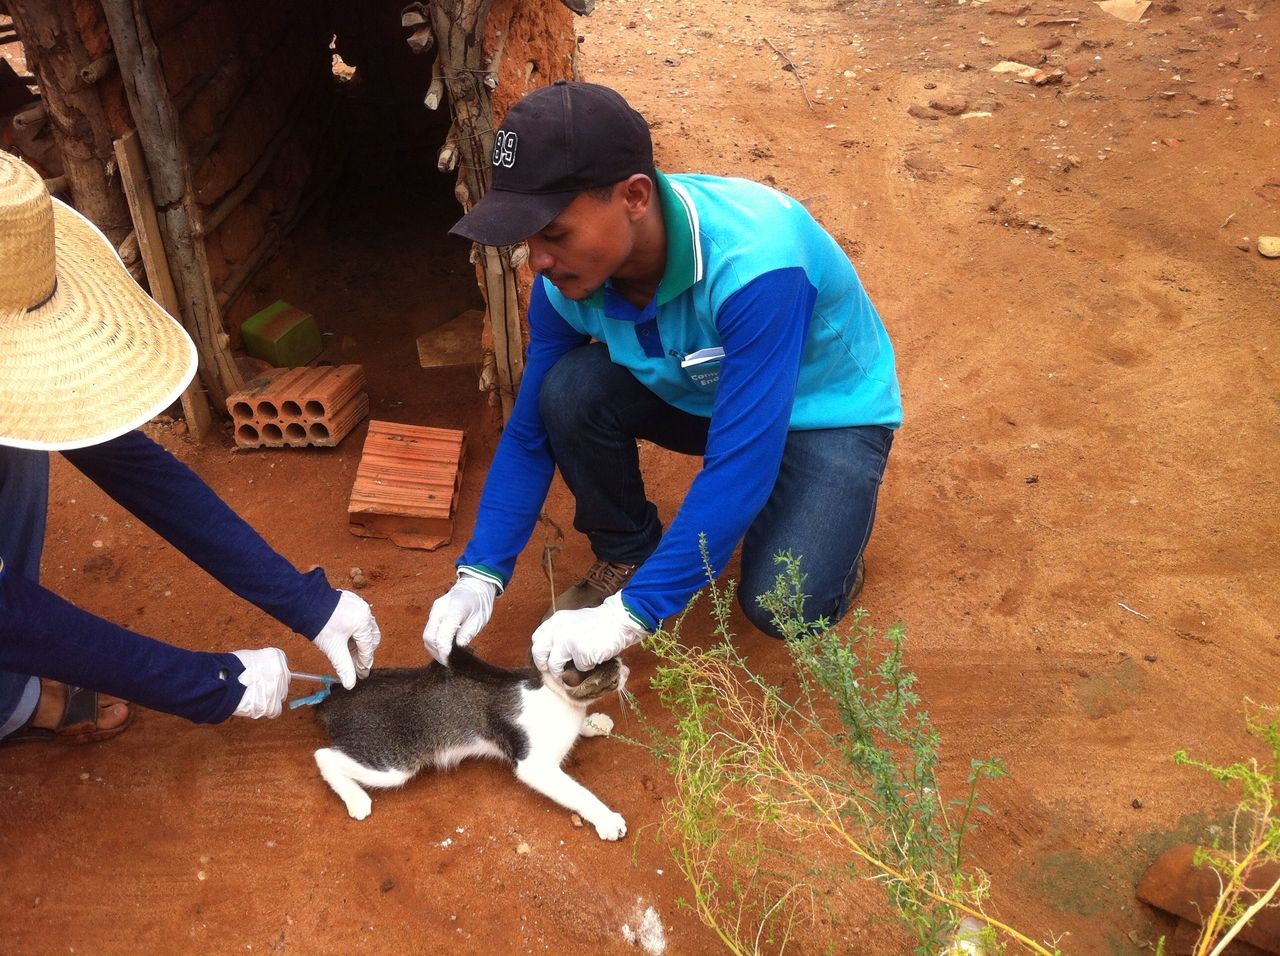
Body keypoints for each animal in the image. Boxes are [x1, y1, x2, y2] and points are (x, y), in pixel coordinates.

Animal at [311, 650, 629, 844]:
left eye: (617, 659)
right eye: (614, 678)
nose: (627, 669)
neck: (557, 700)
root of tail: (335, 694)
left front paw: (596, 722)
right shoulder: (533, 764)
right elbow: (579, 793)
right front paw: (606, 818)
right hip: (394, 761)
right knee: (323, 755)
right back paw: (356, 799)